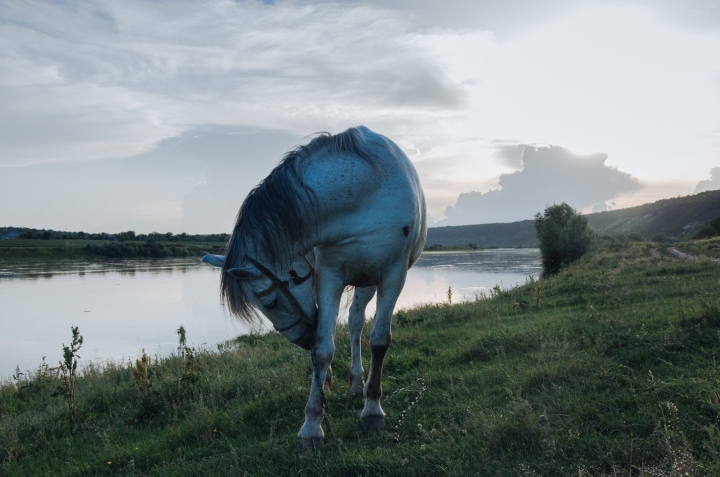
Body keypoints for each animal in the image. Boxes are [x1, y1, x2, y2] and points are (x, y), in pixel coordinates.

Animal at [201, 125, 428, 442]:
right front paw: (312, 424)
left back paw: (358, 385)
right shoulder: (329, 276)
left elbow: (380, 341)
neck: (365, 191)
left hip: (369, 281)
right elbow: (323, 349)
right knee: (340, 328)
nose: (302, 340)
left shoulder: (393, 275)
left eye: (270, 301)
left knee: (356, 322)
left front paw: (372, 409)